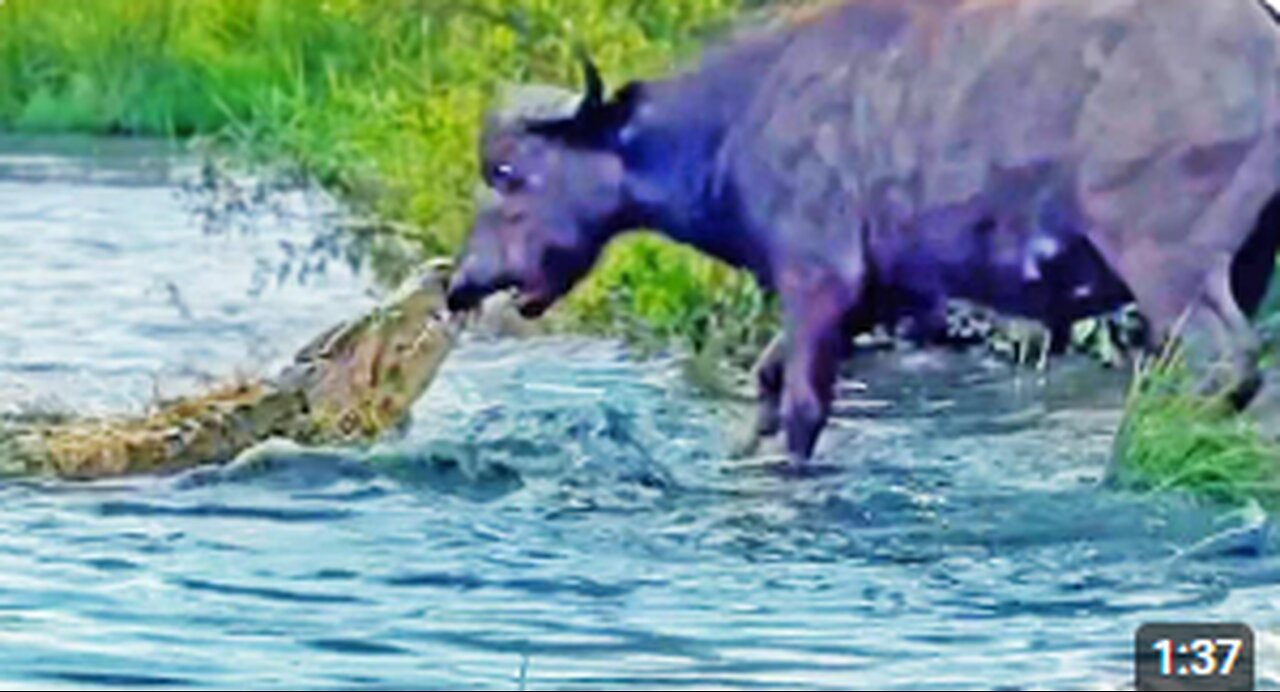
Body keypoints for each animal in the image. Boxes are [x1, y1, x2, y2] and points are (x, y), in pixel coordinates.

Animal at [448, 1, 1280, 463]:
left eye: (508, 173)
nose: (461, 284)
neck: (738, 117)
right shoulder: (876, 298)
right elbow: (765, 383)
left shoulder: (819, 281)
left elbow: (802, 406)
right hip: (1250, 264)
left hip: (1170, 262)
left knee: (1225, 365)